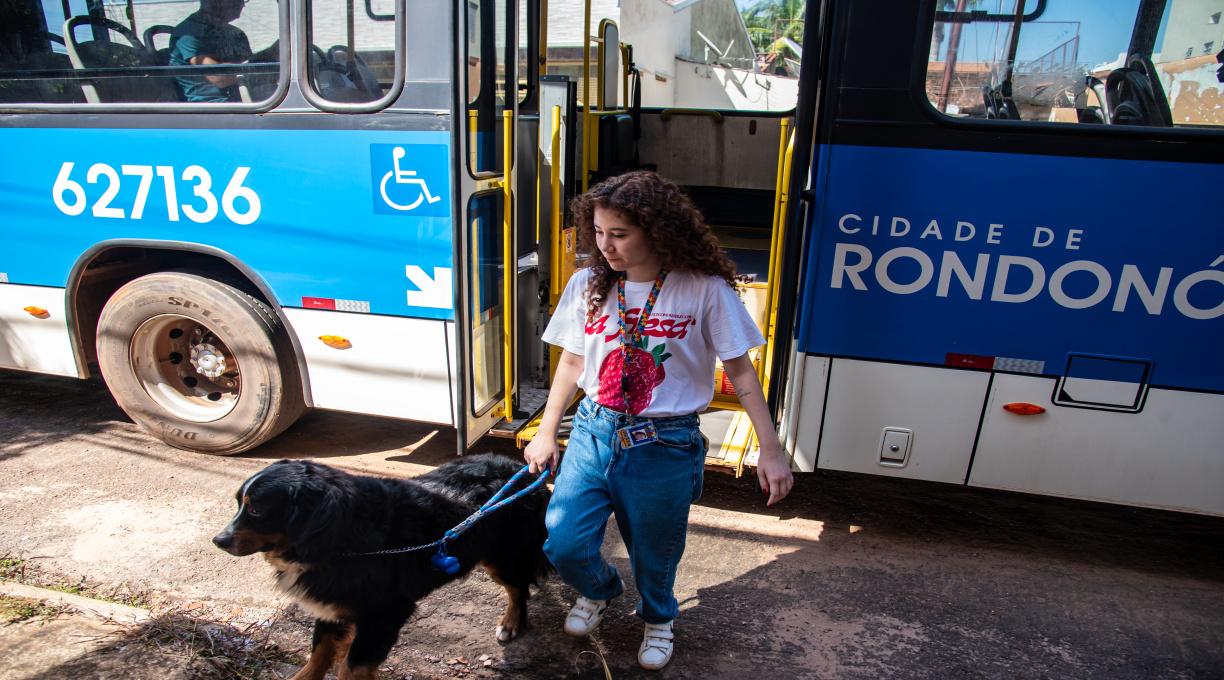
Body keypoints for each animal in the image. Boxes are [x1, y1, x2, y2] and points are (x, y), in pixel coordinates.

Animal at [214, 457, 550, 680]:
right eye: (238, 504)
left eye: (257, 510)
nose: (219, 540)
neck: (339, 535)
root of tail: (523, 469)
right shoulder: (330, 603)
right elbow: (318, 654)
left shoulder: (387, 612)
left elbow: (351, 668)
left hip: (502, 559)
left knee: (519, 588)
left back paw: (510, 623)